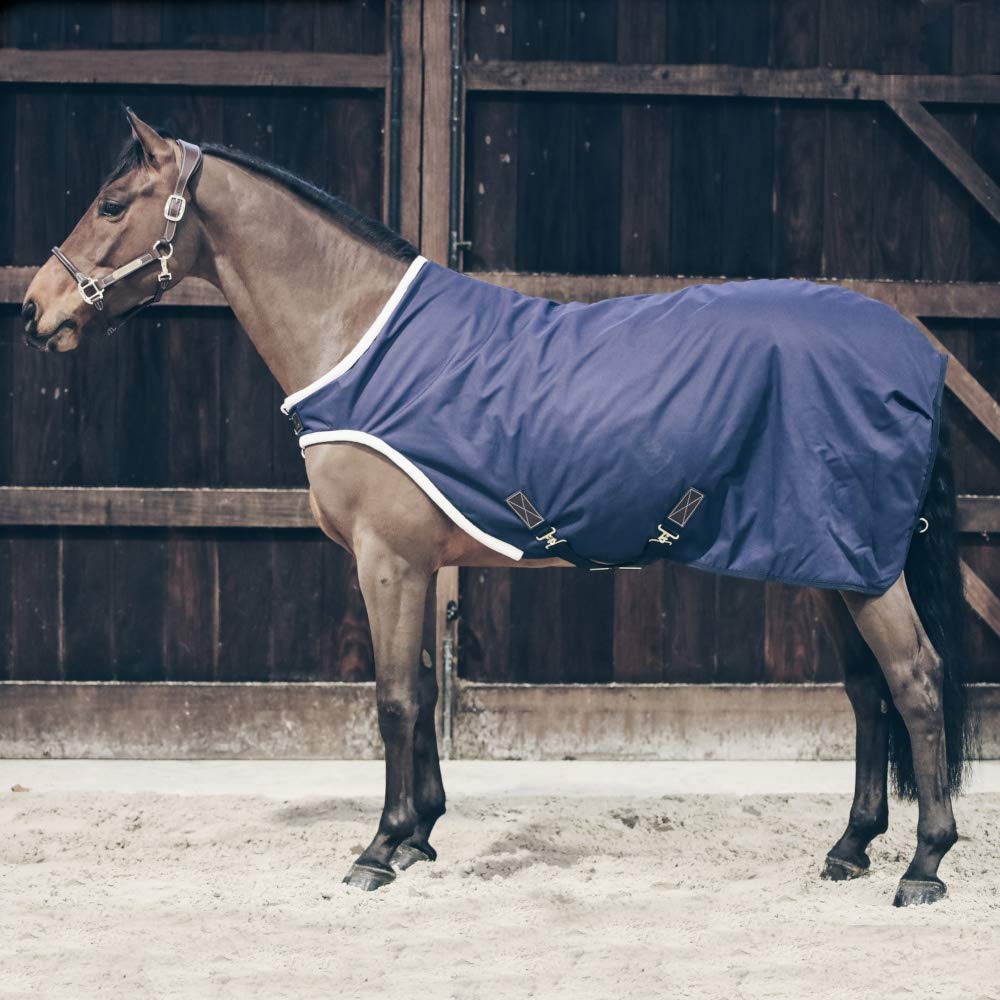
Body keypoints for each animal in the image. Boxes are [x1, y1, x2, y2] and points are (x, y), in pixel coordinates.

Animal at [21, 109, 972, 906]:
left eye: (111, 204)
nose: (35, 309)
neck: (360, 335)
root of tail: (915, 351)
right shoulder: (415, 562)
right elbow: (422, 687)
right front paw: (420, 838)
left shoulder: (388, 560)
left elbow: (394, 699)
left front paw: (378, 851)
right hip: (828, 559)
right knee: (867, 691)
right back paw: (850, 847)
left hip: (862, 567)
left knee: (917, 682)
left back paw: (924, 866)